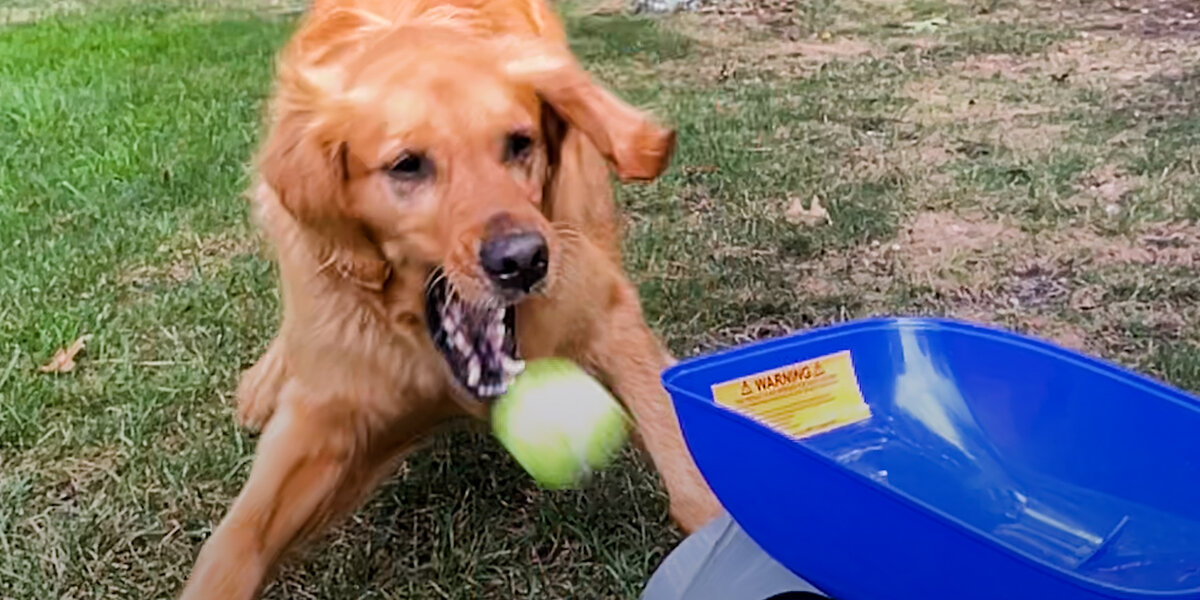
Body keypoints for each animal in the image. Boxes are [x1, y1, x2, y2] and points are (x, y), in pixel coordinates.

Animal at [180, 0, 720, 595]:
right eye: (407, 164)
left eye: (520, 143)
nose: (523, 260)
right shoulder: (330, 408)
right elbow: (235, 544)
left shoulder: (606, 315)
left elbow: (692, 473)